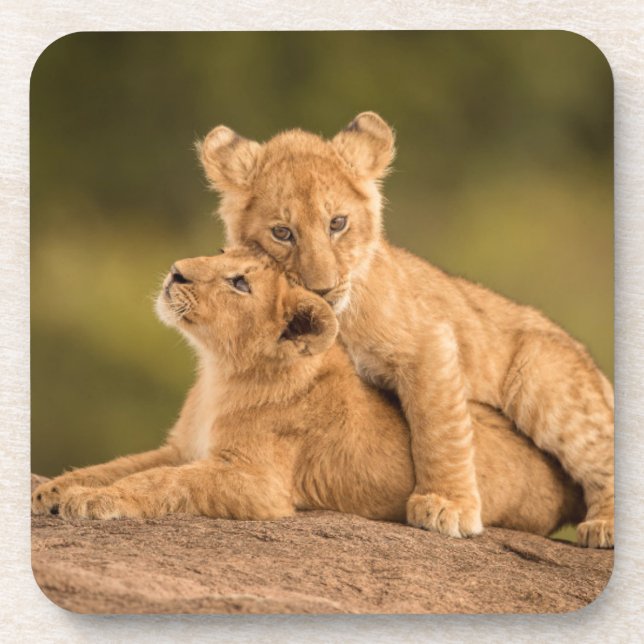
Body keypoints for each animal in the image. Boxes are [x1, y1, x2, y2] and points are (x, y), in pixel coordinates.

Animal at [32, 249, 583, 535]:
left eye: (239, 283)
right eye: (222, 252)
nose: (176, 270)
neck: (218, 372)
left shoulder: (259, 484)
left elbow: (162, 481)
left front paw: (93, 500)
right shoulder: (181, 447)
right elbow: (122, 466)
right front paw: (54, 489)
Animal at [196, 113, 614, 548]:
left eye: (337, 223)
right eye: (282, 232)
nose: (322, 289)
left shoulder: (429, 341)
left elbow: (438, 428)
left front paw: (447, 505)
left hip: (541, 375)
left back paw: (604, 526)